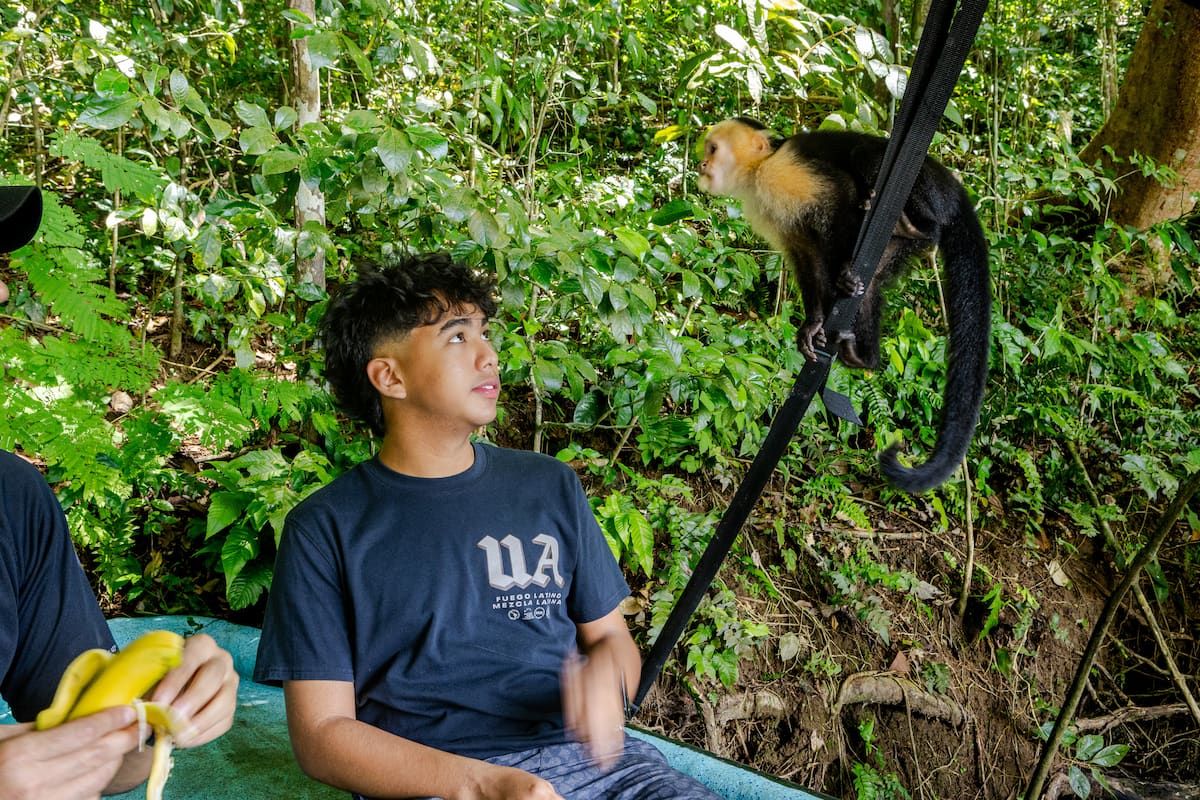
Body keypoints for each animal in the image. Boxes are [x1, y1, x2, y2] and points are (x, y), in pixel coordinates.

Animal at [696, 117, 990, 493]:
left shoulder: (782, 172)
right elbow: (805, 256)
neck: (757, 172)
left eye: (713, 149)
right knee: (874, 284)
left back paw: (912, 226)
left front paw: (844, 271)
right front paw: (812, 326)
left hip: (925, 187)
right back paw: (863, 356)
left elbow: (841, 197)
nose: (703, 164)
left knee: (866, 157)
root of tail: (951, 185)